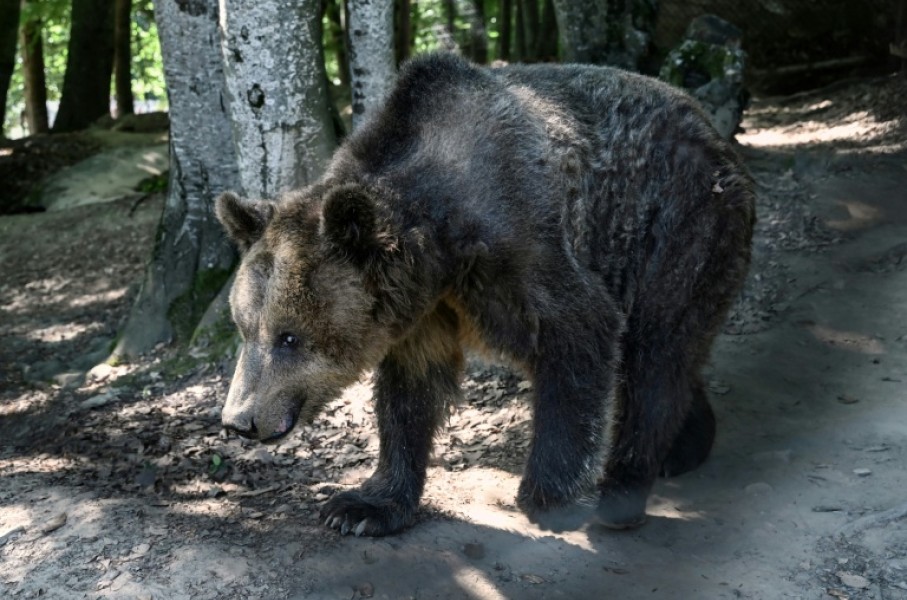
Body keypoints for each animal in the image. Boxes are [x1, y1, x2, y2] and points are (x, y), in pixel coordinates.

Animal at [215, 52, 755, 536]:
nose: (239, 420)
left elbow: (581, 336)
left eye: (289, 337)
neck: (443, 241)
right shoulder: (424, 307)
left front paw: (552, 498)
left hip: (678, 227)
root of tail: (713, 130)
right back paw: (684, 446)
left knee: (658, 355)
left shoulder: (525, 242)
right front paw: (364, 505)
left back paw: (625, 488)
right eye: (245, 328)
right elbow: (410, 394)